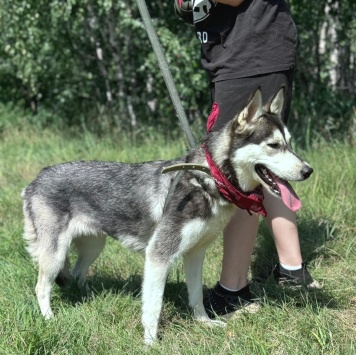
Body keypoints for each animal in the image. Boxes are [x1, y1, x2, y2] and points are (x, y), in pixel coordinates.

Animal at [22, 88, 312, 344]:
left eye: (290, 144)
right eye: (273, 145)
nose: (308, 170)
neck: (208, 181)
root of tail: (34, 181)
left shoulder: (195, 255)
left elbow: (196, 296)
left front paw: (204, 323)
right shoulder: (158, 257)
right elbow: (153, 307)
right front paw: (150, 342)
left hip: (94, 245)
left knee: (78, 273)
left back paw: (89, 298)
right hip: (55, 254)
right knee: (42, 287)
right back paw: (49, 319)